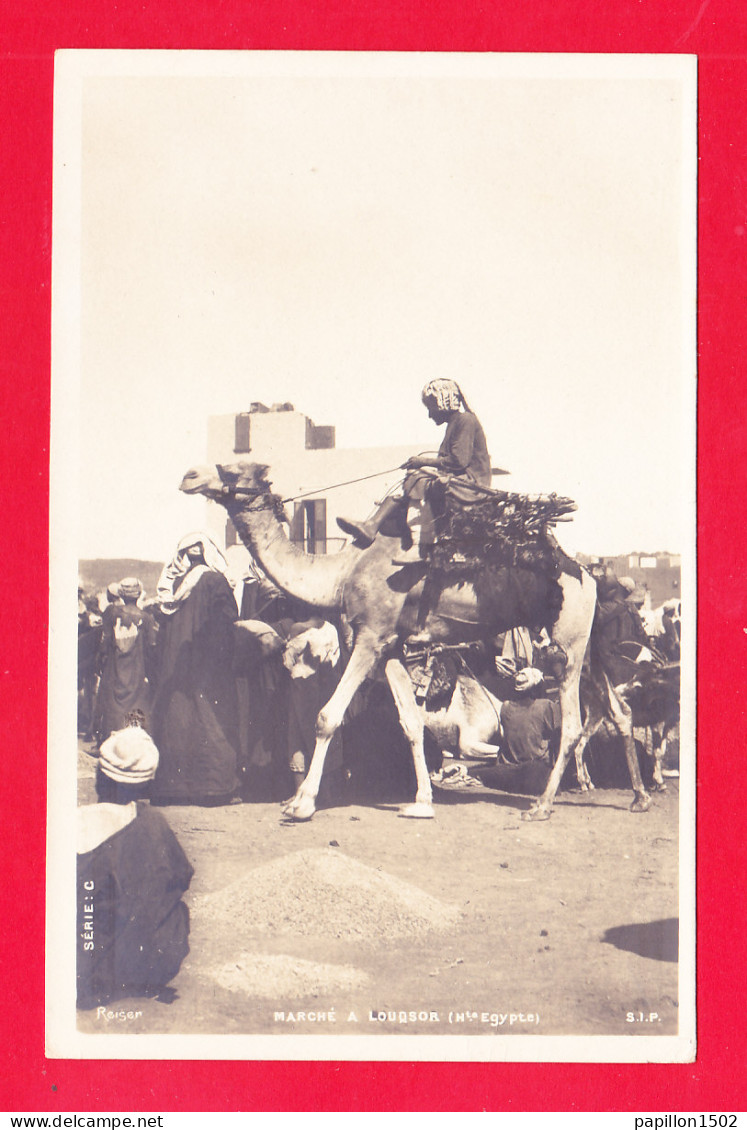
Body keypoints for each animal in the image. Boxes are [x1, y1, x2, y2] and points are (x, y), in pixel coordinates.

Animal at [177, 458, 650, 822]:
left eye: (231, 467)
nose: (189, 475)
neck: (340, 573)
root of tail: (587, 575)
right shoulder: (389, 645)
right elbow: (410, 722)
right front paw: (421, 802)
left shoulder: (369, 637)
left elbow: (327, 716)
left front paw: (300, 804)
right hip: (588, 644)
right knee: (620, 711)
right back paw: (639, 797)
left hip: (567, 641)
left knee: (571, 723)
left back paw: (541, 806)